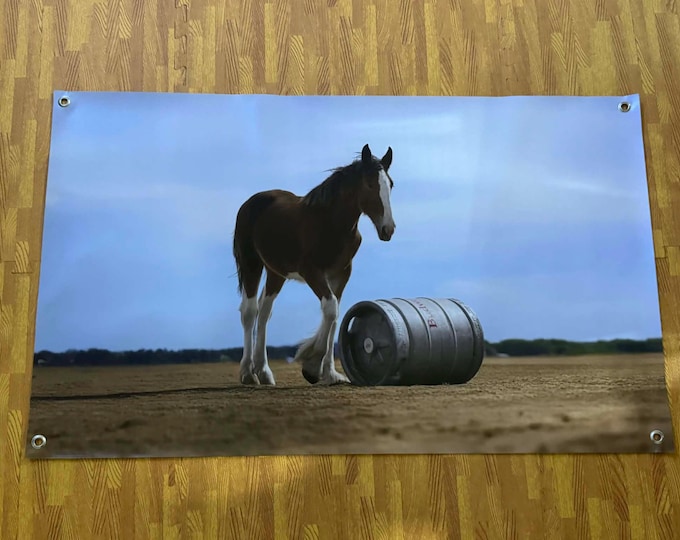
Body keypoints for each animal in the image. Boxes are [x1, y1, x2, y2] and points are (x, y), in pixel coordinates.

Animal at [232, 143, 397, 386]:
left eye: (390, 184)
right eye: (369, 183)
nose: (388, 229)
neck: (331, 223)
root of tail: (250, 203)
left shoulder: (341, 274)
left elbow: (335, 317)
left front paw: (330, 373)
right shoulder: (312, 272)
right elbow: (330, 309)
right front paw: (312, 364)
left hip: (276, 273)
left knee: (264, 312)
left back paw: (264, 372)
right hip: (251, 264)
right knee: (250, 312)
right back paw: (247, 373)